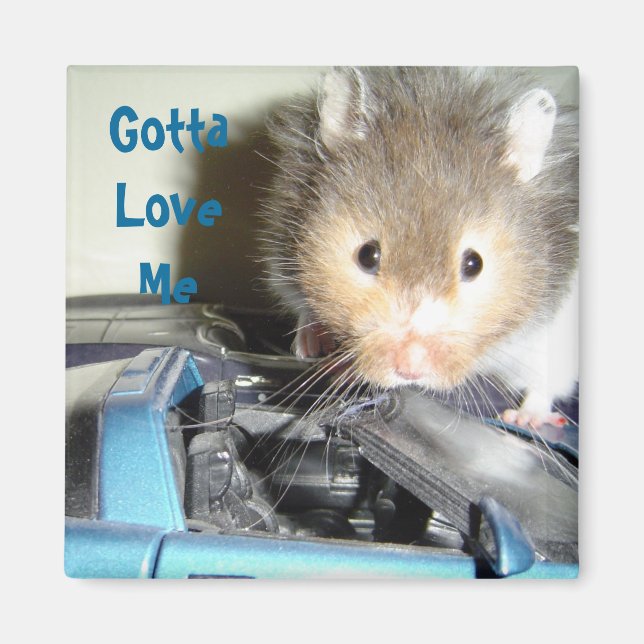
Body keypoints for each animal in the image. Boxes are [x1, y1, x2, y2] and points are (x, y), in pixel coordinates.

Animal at [260, 67, 578, 428]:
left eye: (474, 264)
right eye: (366, 256)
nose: (410, 370)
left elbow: (545, 385)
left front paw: (524, 418)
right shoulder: (279, 257)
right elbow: (303, 307)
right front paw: (314, 348)